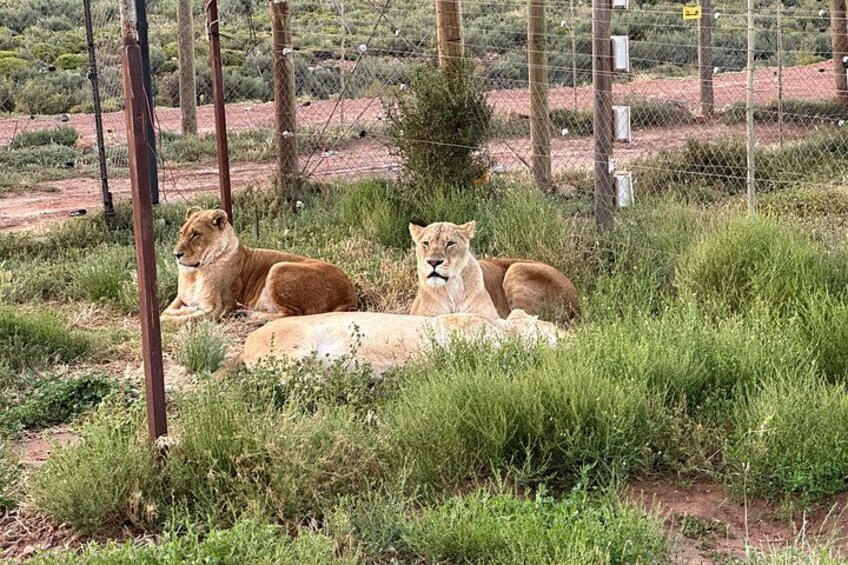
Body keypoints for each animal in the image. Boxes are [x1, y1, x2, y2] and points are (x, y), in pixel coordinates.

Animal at [160, 207, 357, 325]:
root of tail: (349, 295)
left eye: (196, 235)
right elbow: (166, 312)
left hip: (279, 267)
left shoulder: (219, 308)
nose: (176, 255)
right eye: (181, 233)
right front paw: (181, 310)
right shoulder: (181, 298)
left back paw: (250, 315)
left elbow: (177, 319)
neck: (195, 273)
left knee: (292, 314)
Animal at [408, 221, 579, 321]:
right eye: (426, 243)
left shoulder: (488, 315)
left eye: (450, 243)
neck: (451, 289)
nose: (433, 262)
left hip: (516, 268)